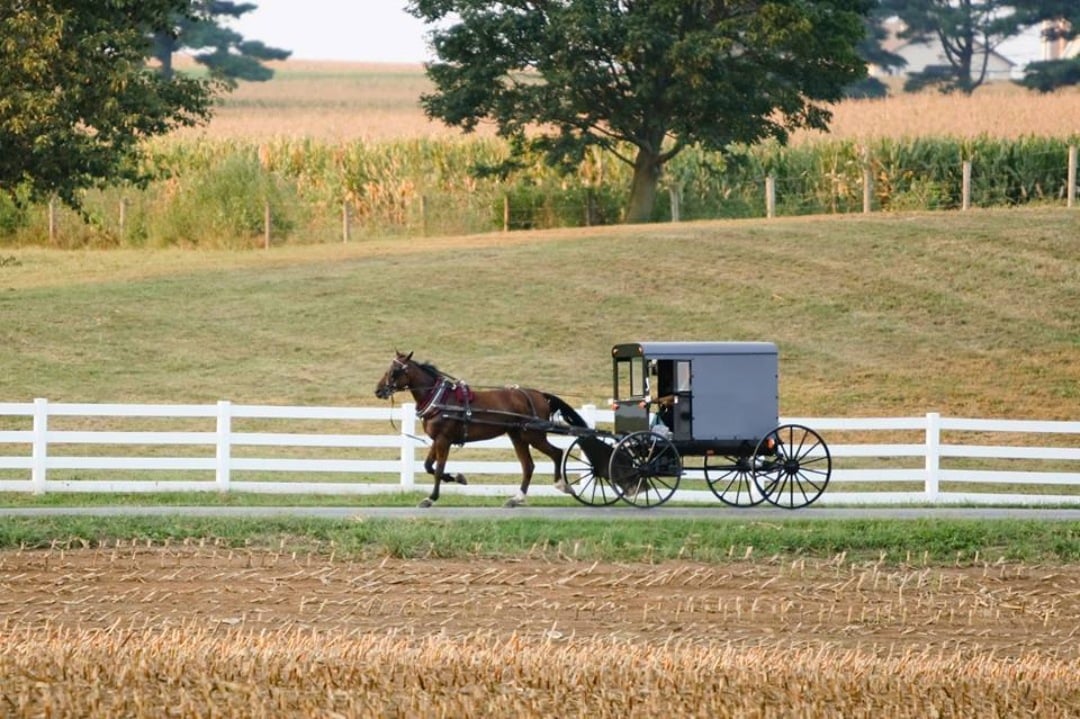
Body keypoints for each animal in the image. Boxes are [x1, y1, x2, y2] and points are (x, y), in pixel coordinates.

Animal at [373, 349, 591, 507]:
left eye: (395, 371)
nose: (378, 390)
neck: (440, 399)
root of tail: (538, 394)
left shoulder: (444, 439)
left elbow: (437, 469)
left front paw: (431, 498)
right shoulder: (437, 440)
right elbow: (428, 466)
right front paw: (457, 478)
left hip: (533, 435)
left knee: (556, 453)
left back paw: (562, 485)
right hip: (517, 436)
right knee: (528, 465)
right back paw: (517, 498)